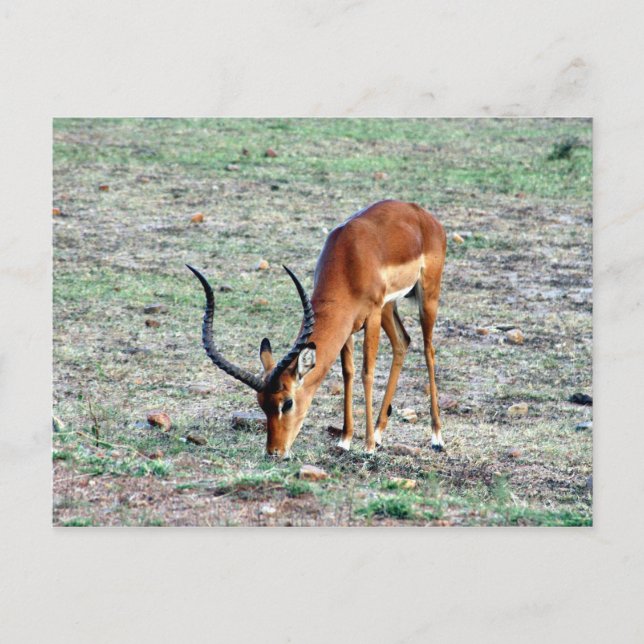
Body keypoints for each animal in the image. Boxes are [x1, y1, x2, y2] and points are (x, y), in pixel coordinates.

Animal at [187, 199, 446, 458]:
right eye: (260, 402)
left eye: (287, 402)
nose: (274, 452)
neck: (350, 258)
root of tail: (421, 213)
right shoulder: (348, 325)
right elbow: (348, 373)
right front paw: (345, 440)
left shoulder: (371, 316)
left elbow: (367, 373)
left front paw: (368, 447)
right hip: (389, 307)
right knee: (402, 342)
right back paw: (380, 433)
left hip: (426, 296)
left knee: (429, 350)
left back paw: (436, 438)